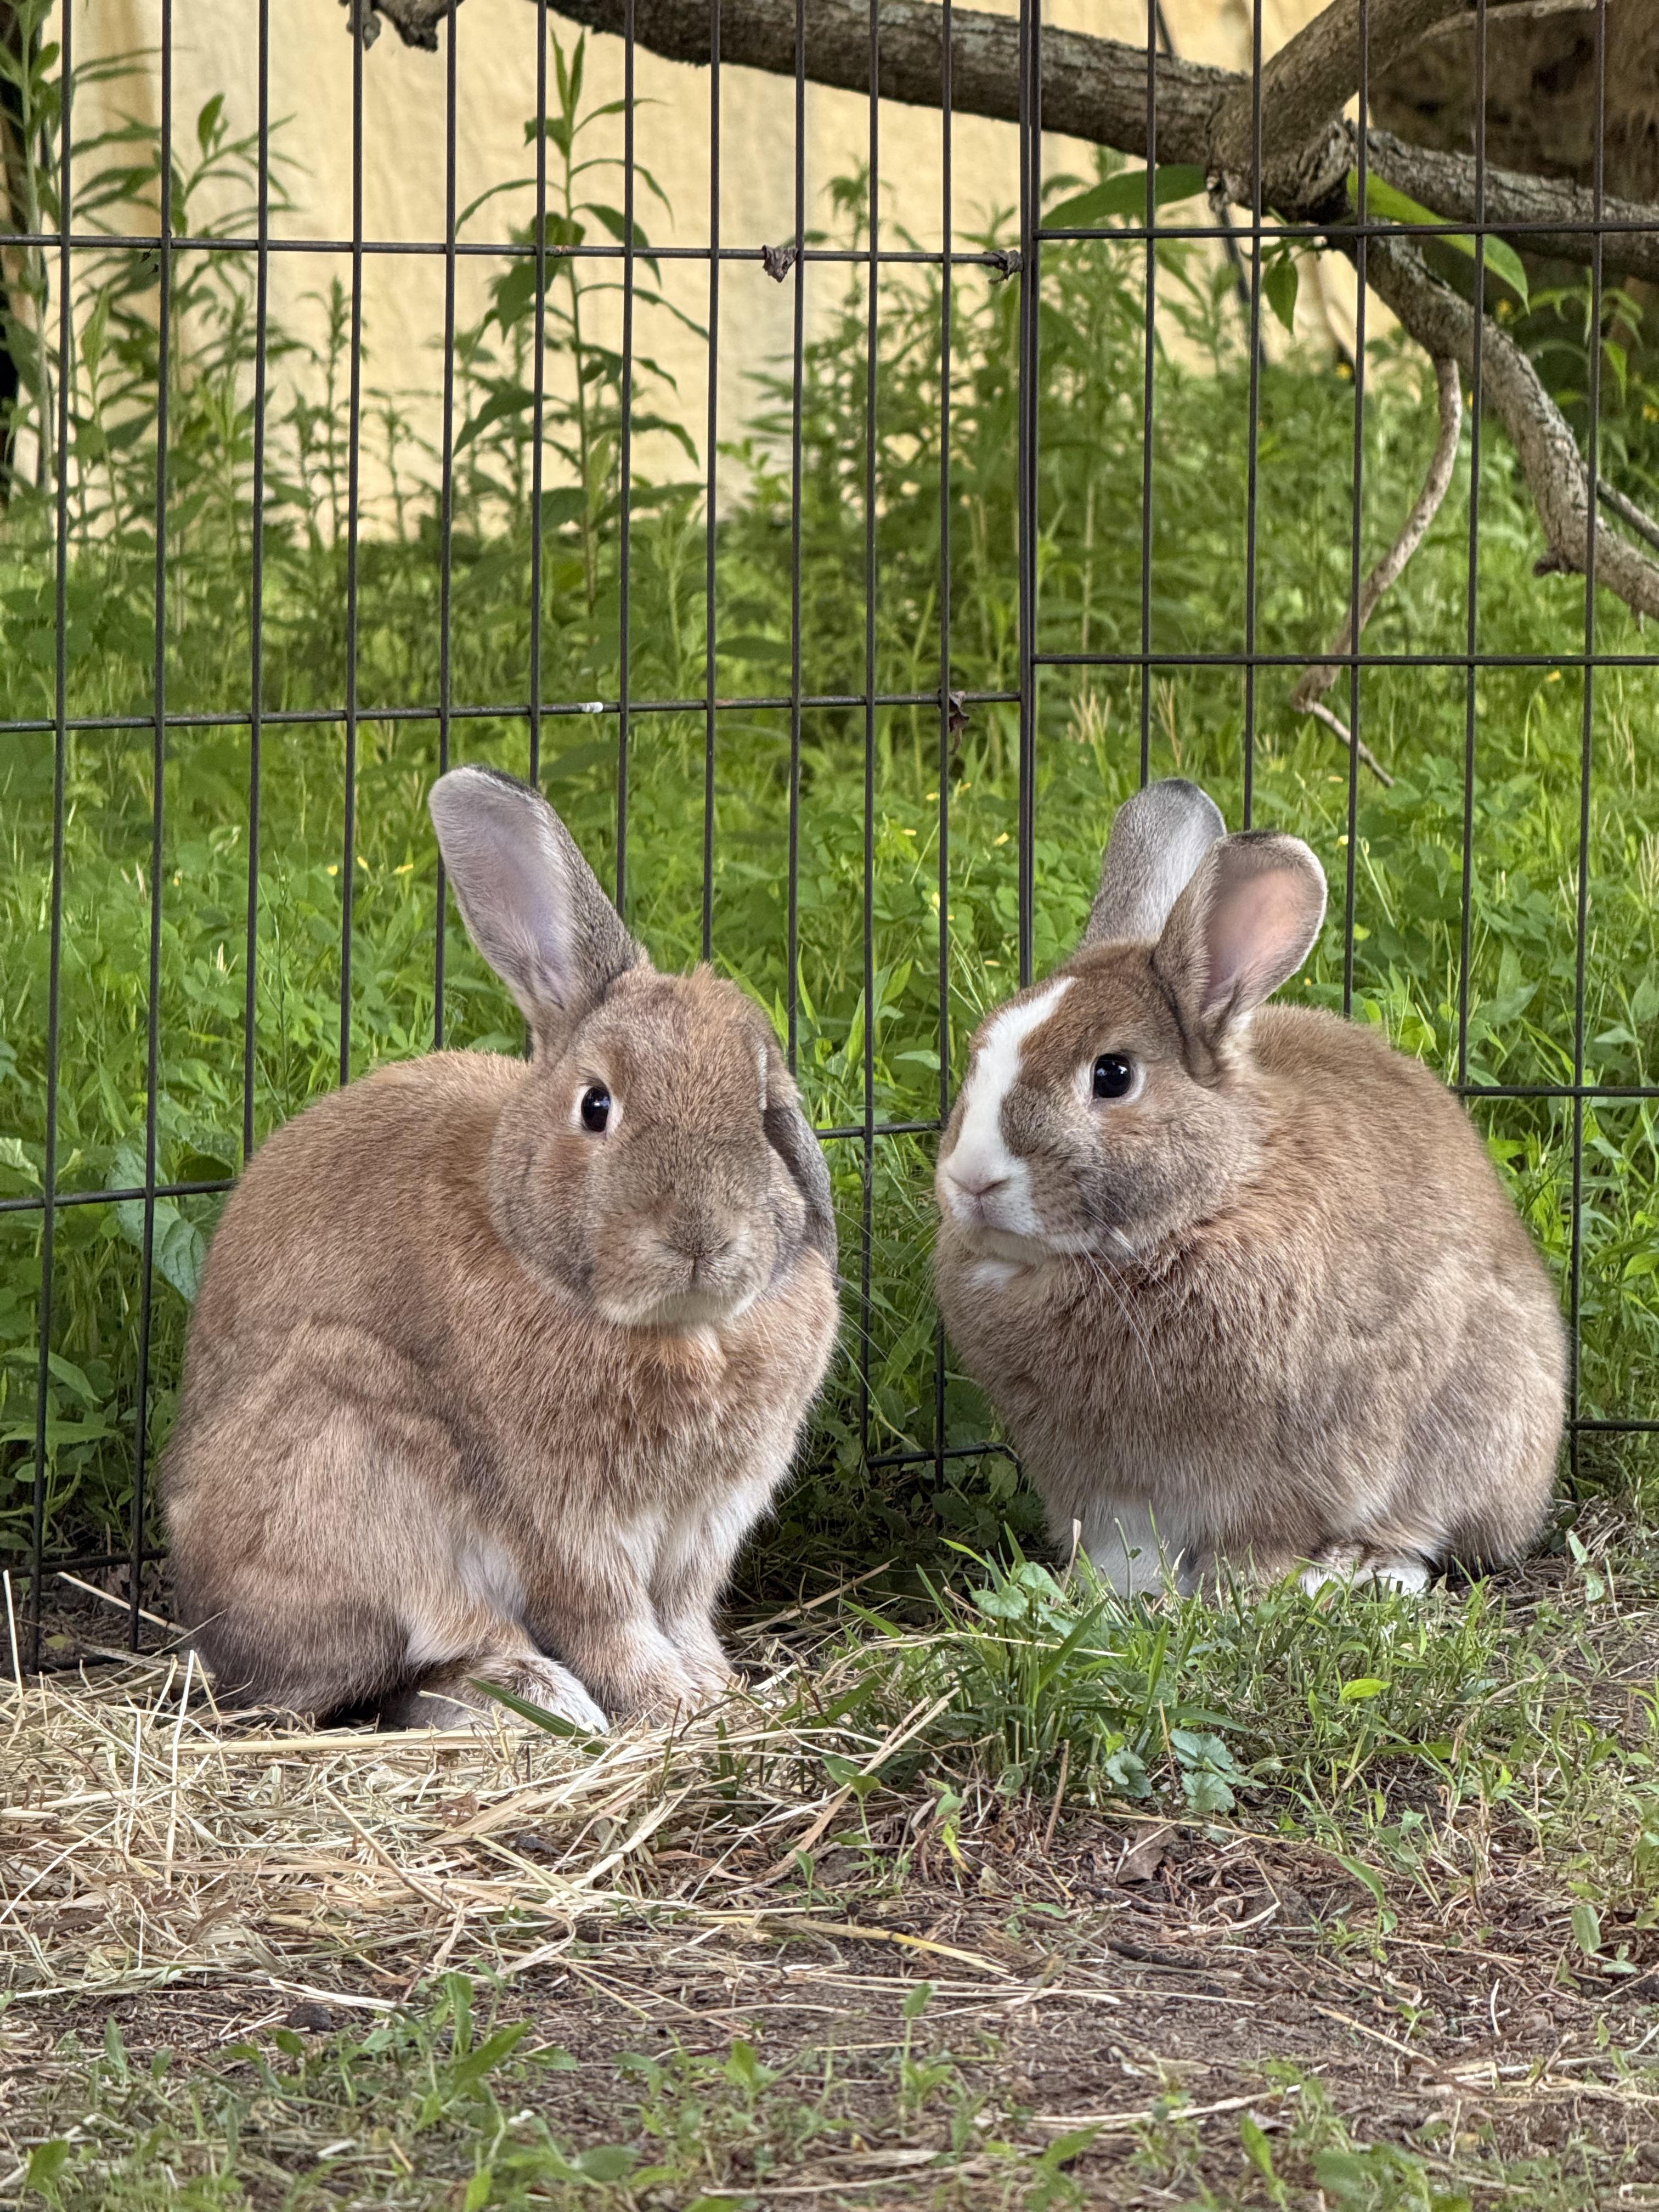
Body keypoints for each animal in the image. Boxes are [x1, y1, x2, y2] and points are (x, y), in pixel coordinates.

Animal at [162, 765, 840, 1731]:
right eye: (596, 1106)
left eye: (764, 1107)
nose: (701, 1237)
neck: (682, 1333)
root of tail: (208, 1629)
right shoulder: (562, 1527)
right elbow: (609, 1621)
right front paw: (668, 1702)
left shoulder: (705, 1528)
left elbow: (684, 1613)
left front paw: (718, 1694)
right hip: (354, 1466)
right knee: (418, 1658)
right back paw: (538, 1695)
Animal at [933, 778, 1565, 1599]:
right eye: (977, 1057)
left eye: (1113, 1075)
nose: (972, 1180)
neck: (1206, 1207)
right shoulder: (1098, 1487)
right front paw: (1108, 1593)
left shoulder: (1284, 1466)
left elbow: (1261, 1537)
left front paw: (1239, 1590)